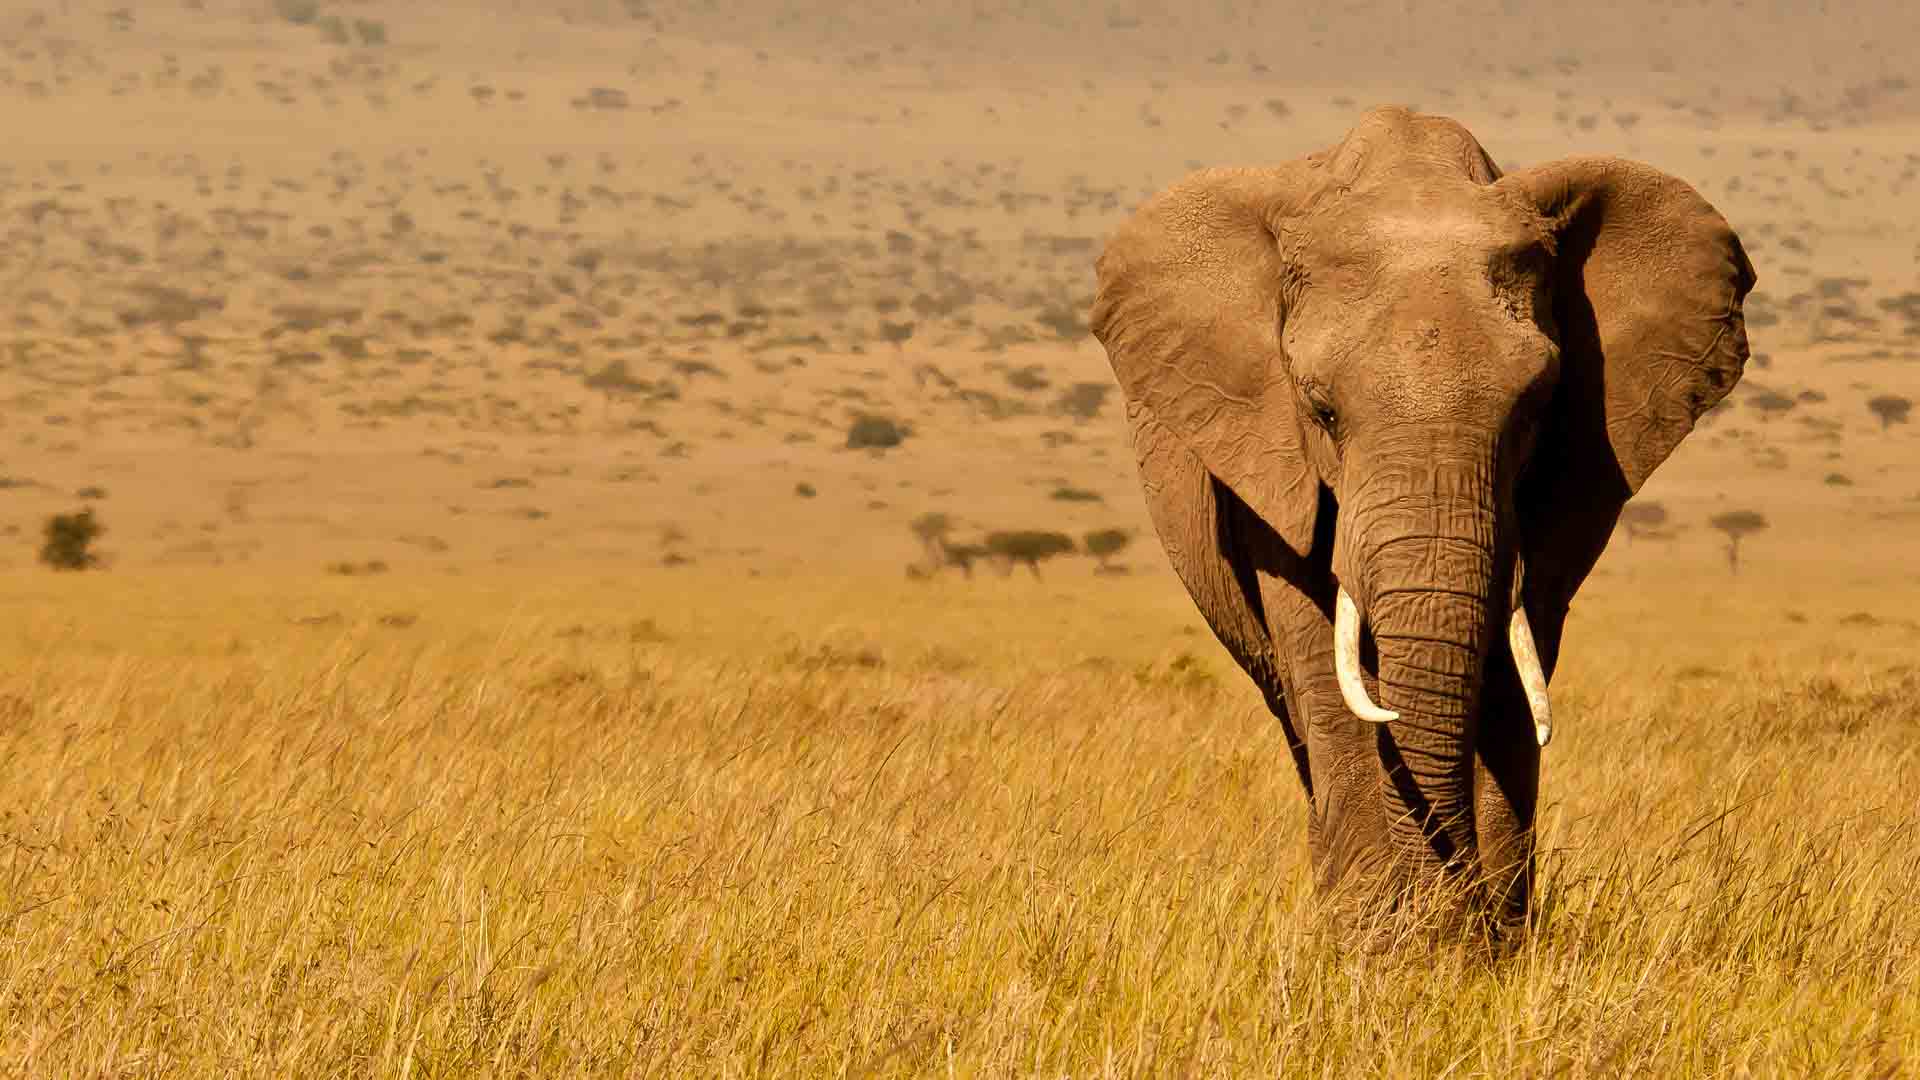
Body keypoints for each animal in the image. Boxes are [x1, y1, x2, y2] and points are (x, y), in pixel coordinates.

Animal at [1089, 106, 1754, 935]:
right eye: (1321, 410)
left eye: (1534, 409)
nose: (1452, 906)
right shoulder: (1268, 467)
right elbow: (1326, 665)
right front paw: (1386, 941)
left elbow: (1513, 666)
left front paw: (1483, 941)